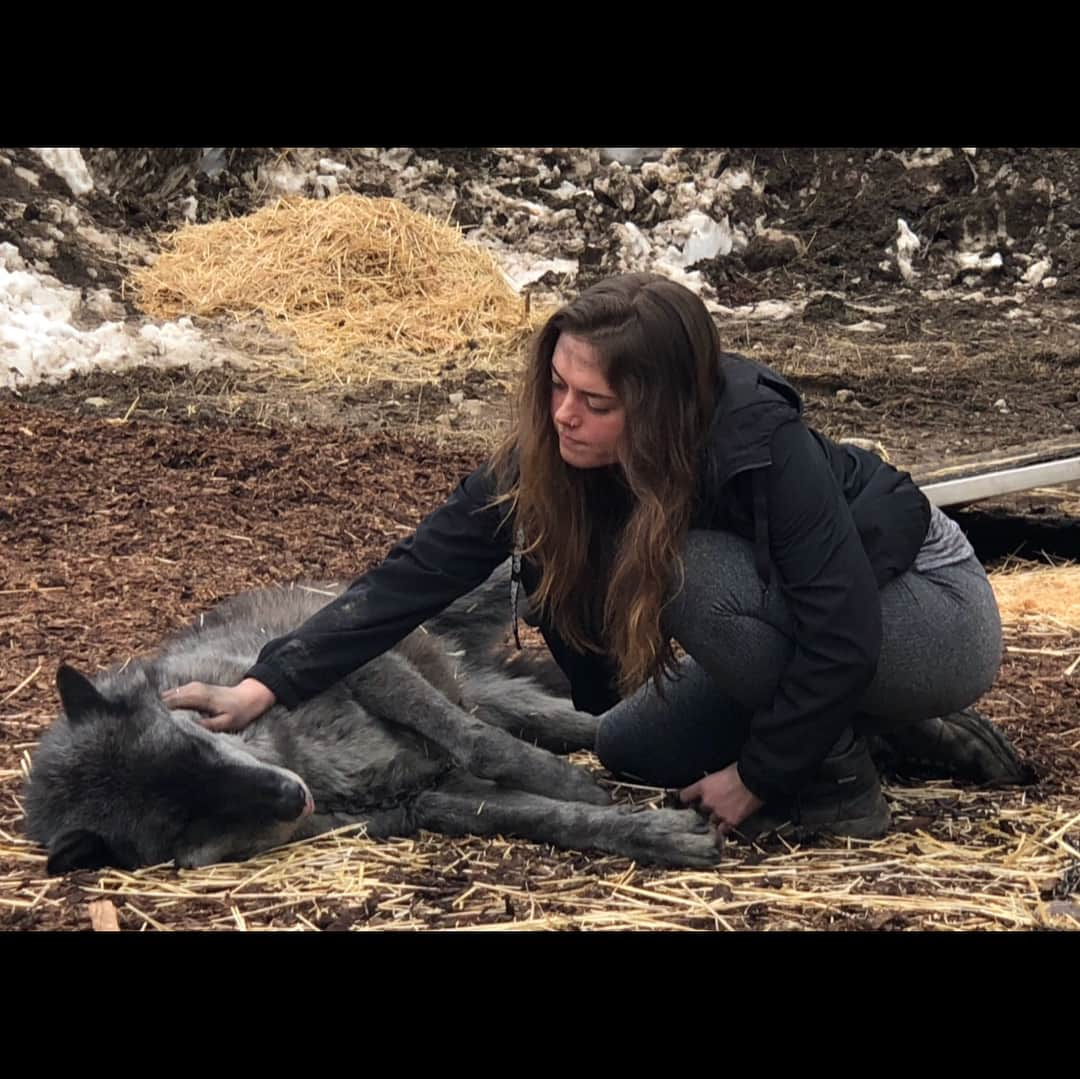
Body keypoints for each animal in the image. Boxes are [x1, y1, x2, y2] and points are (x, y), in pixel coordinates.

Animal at [23, 565, 717, 877]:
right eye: (180, 820)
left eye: (193, 746)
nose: (290, 797)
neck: (299, 757)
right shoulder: (426, 799)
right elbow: (549, 819)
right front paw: (656, 834)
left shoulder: (367, 670)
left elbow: (482, 745)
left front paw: (574, 784)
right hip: (509, 697)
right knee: (588, 724)